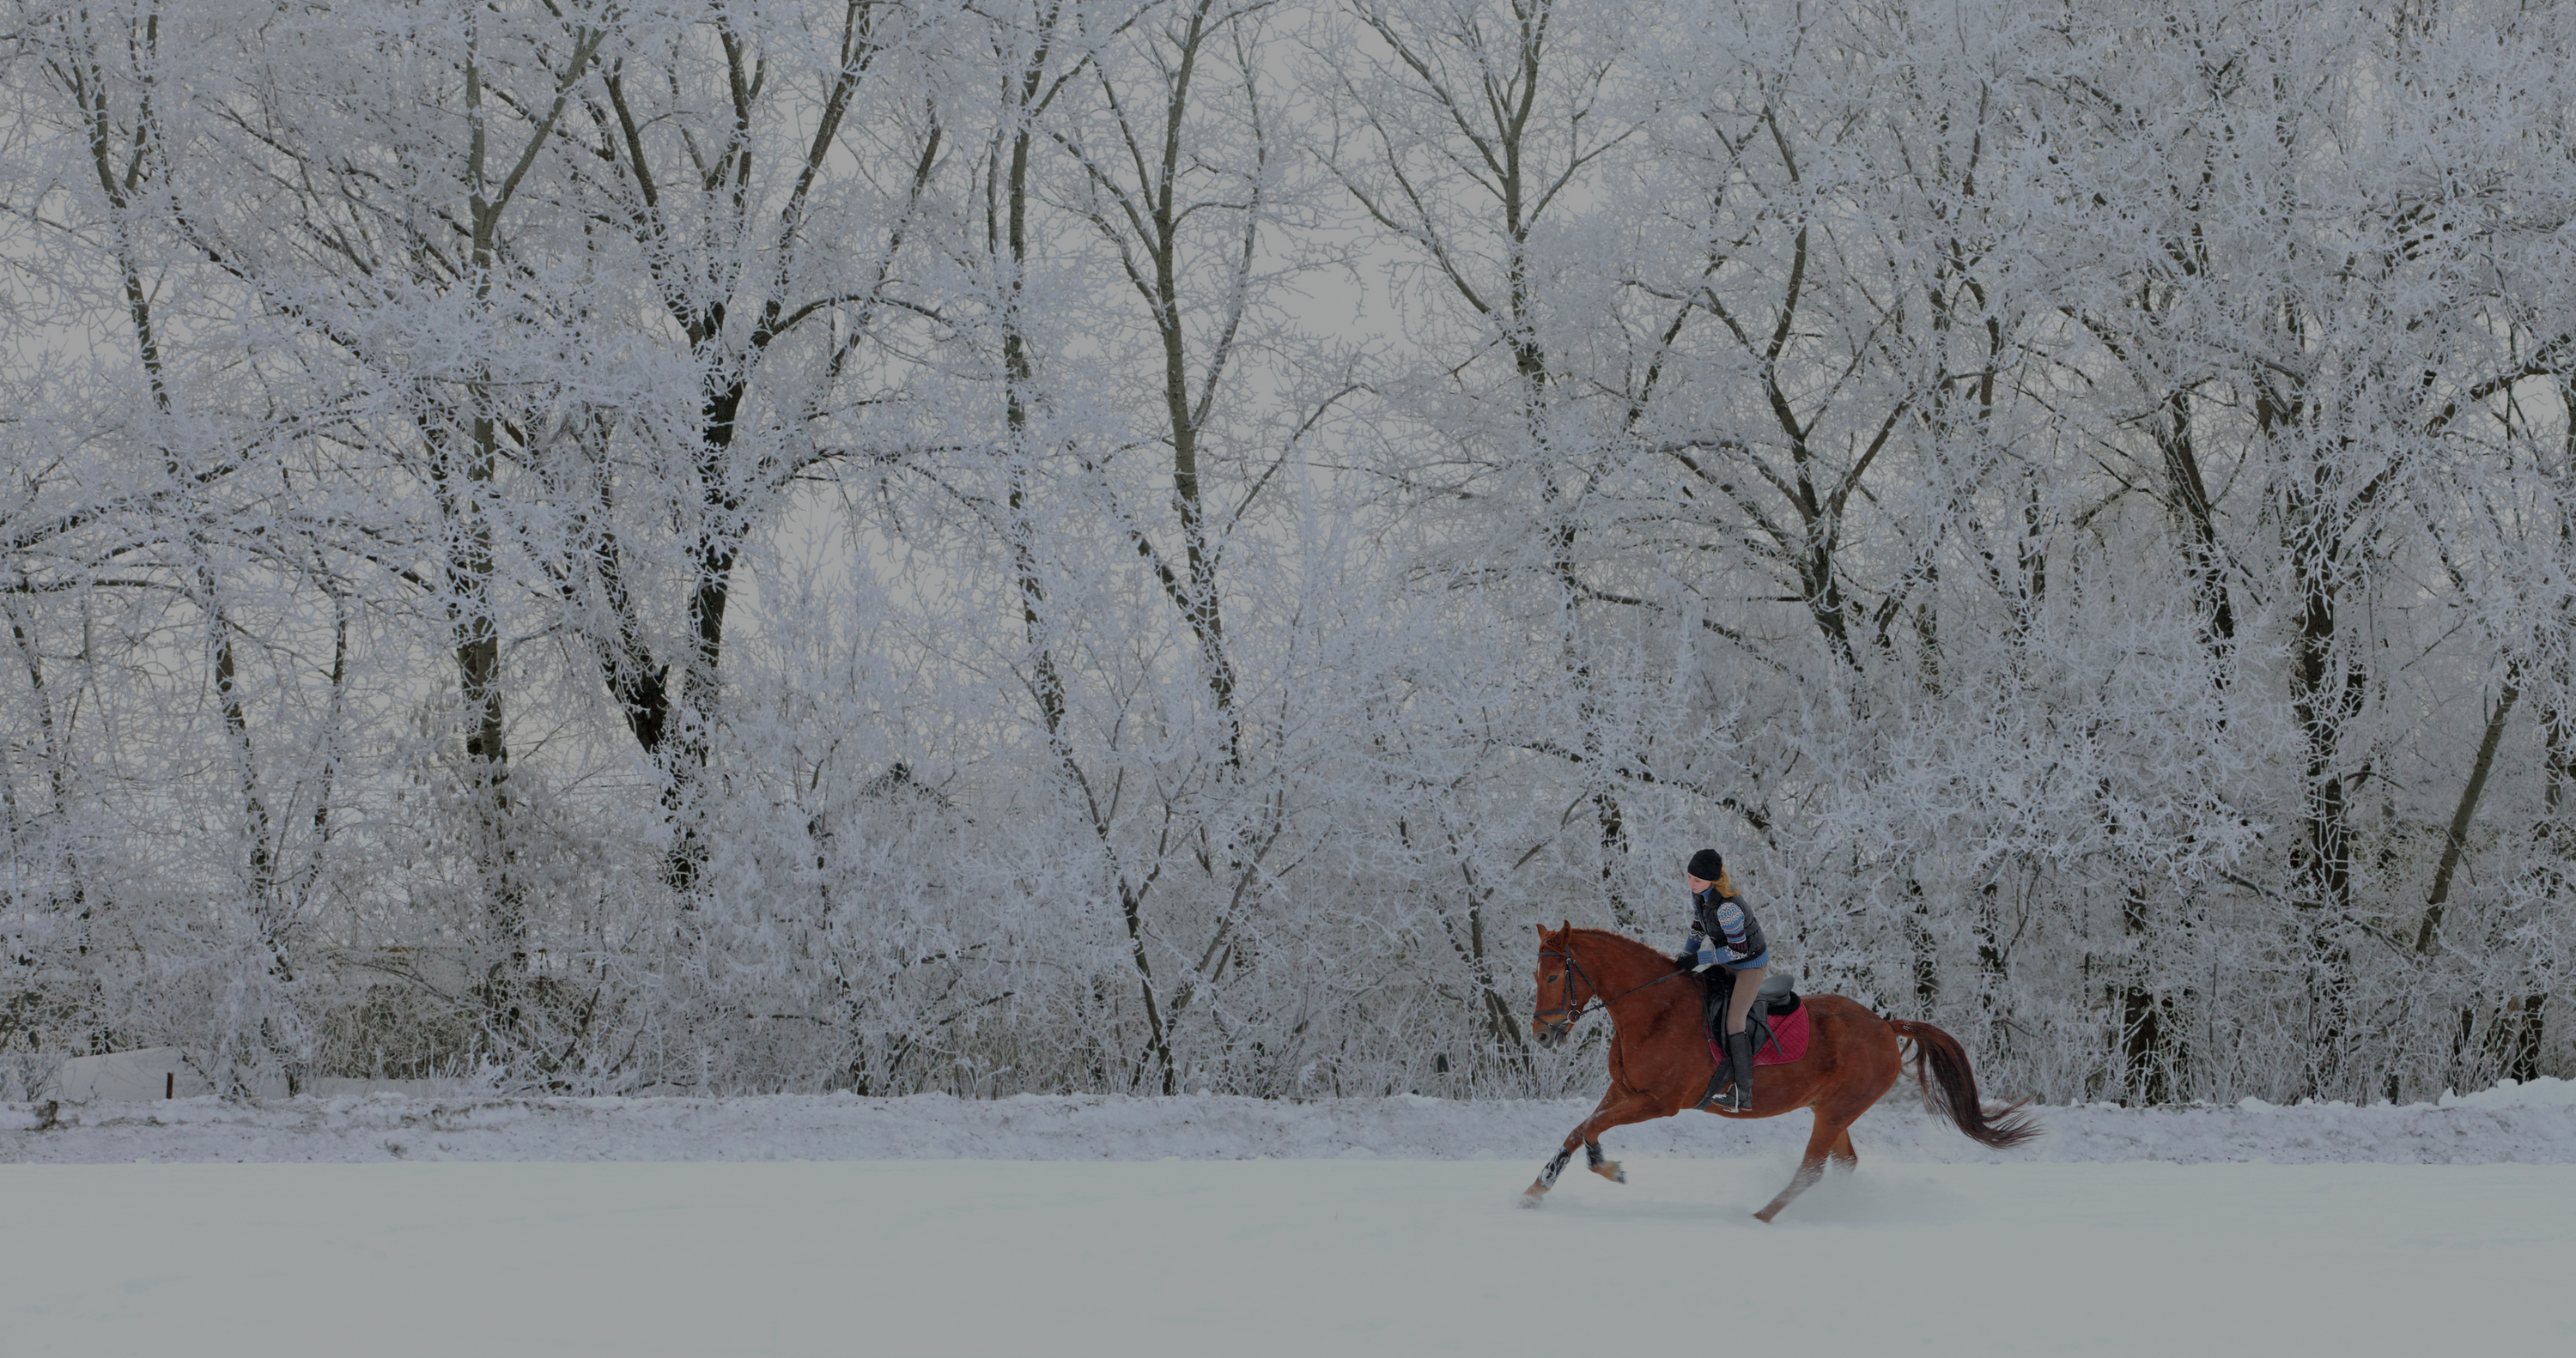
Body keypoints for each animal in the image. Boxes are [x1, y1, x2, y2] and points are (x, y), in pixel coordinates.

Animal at [1525, 922, 2030, 1221]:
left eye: (1552, 977)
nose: (1542, 1036)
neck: (1654, 1009)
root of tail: (1886, 1026)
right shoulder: (1623, 1090)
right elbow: (1580, 1128)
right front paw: (1536, 1189)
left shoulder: (1659, 1102)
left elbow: (1593, 1128)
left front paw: (1609, 1169)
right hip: (1832, 1111)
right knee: (1842, 1163)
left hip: (1836, 1110)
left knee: (1811, 1169)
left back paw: (1761, 1217)